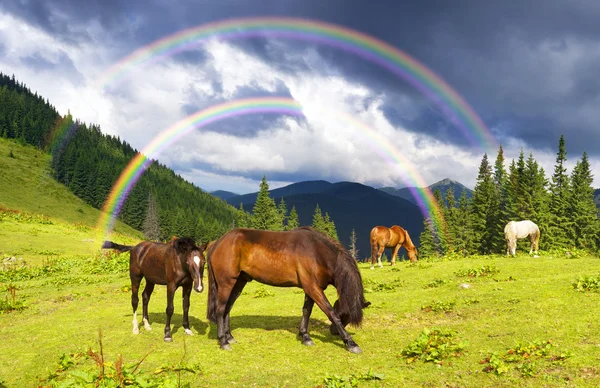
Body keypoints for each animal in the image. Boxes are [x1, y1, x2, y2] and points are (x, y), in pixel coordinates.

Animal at [205, 226, 370, 354]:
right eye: (346, 314)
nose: (333, 332)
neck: (316, 252)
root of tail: (217, 243)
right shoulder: (313, 288)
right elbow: (331, 312)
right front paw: (350, 343)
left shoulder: (311, 288)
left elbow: (306, 311)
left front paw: (305, 336)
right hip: (226, 283)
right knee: (220, 309)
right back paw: (223, 341)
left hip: (239, 282)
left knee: (227, 308)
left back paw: (229, 337)